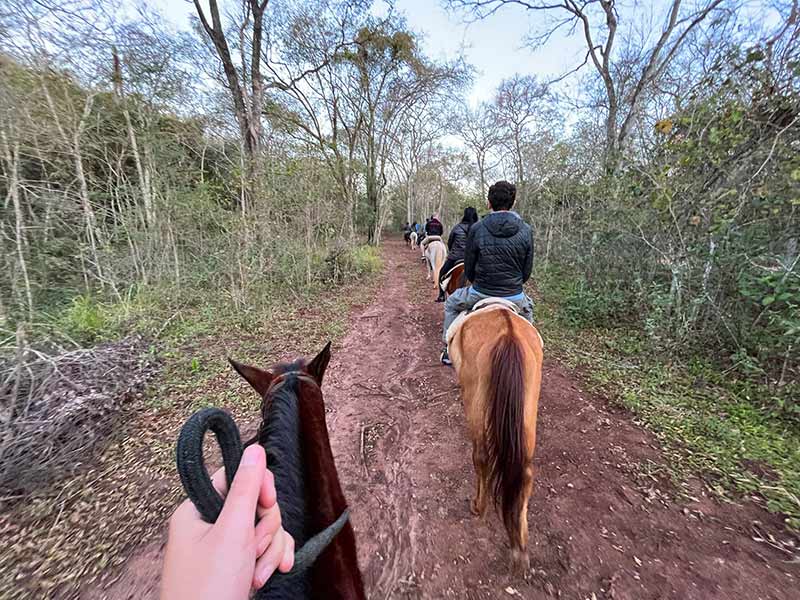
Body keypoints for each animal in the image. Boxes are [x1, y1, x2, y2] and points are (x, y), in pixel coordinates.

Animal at [450, 304, 544, 572]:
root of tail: (508, 336)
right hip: (528, 407)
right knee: (526, 473)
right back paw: (520, 543)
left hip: (476, 401)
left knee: (481, 457)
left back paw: (478, 507)